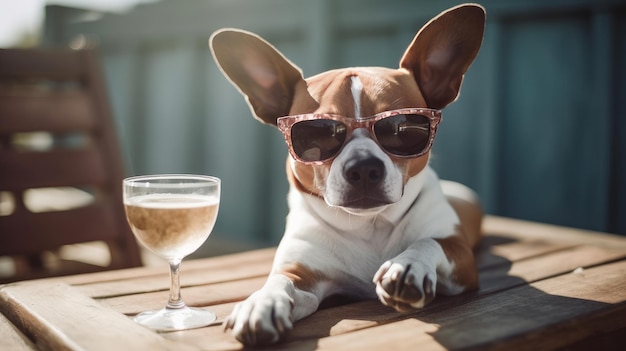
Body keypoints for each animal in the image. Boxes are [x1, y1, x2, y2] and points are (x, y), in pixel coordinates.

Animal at [210, 3, 482, 346]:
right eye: (318, 132)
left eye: (401, 127)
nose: (364, 167)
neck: (369, 227)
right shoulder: (302, 274)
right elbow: (279, 282)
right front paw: (262, 301)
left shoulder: (460, 258)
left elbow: (428, 242)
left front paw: (407, 266)